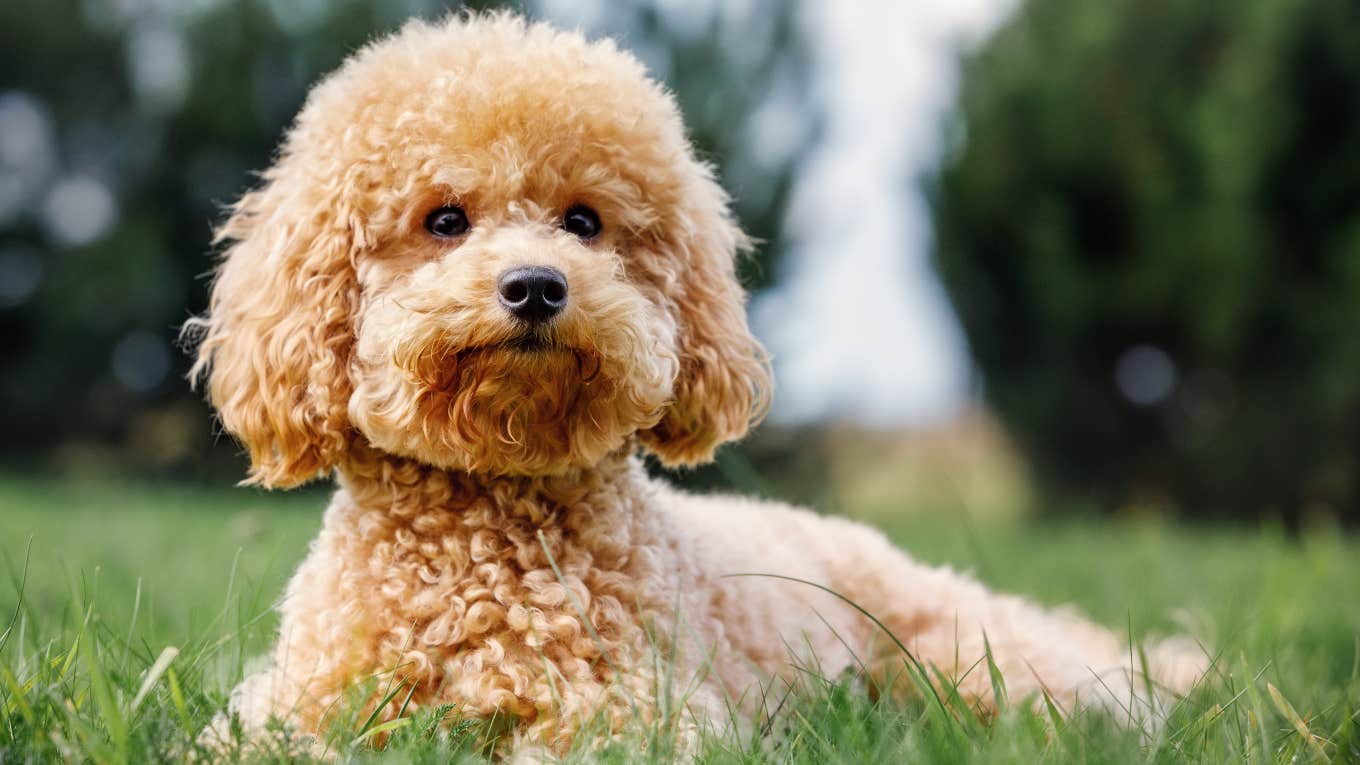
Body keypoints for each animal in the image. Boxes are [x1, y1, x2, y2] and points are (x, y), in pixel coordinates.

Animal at [189, 13, 1202, 756]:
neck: (488, 526)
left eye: (583, 221)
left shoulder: (638, 714)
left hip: (974, 660)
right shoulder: (292, 706)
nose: (536, 286)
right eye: (444, 220)